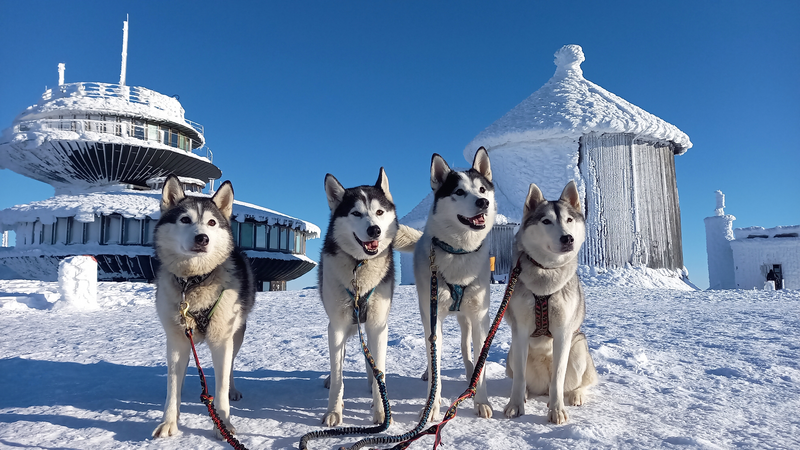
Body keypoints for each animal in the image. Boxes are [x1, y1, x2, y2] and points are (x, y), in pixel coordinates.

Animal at [152, 176, 255, 440]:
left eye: (211, 222)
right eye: (185, 219)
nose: (202, 238)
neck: (193, 282)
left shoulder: (221, 340)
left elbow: (220, 387)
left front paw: (224, 425)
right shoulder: (176, 341)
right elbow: (172, 386)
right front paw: (169, 422)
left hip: (235, 335)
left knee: (230, 369)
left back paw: (233, 390)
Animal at [318, 167, 418, 428]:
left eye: (379, 212)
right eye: (356, 213)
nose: (375, 230)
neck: (359, 265)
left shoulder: (377, 324)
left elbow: (379, 367)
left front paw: (382, 411)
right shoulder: (337, 326)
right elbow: (338, 375)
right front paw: (334, 411)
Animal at [416, 148, 496, 418]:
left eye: (482, 189)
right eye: (459, 192)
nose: (483, 202)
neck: (459, 252)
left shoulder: (480, 317)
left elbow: (480, 360)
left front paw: (481, 401)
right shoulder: (433, 318)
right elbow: (435, 366)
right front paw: (431, 406)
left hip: (466, 320)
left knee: (465, 349)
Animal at [504, 181, 596, 424]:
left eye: (569, 220)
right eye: (546, 221)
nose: (567, 238)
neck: (546, 272)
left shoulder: (563, 332)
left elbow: (558, 378)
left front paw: (556, 410)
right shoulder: (520, 331)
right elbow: (519, 379)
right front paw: (515, 405)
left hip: (579, 347)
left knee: (582, 382)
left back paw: (576, 395)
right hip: (511, 354)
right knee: (521, 378)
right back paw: (525, 393)